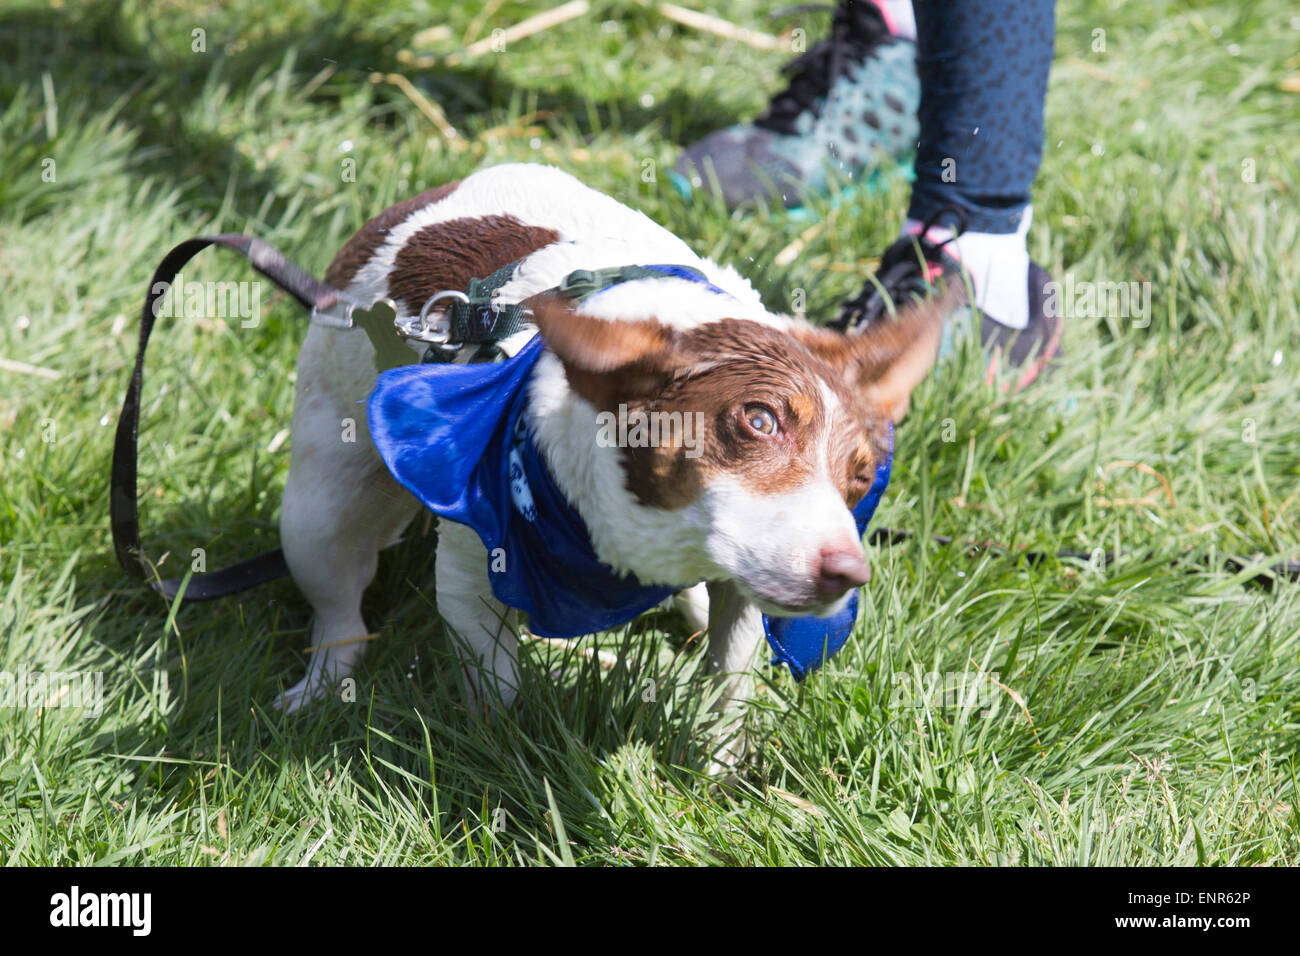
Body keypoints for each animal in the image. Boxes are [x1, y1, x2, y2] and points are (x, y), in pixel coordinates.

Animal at [279, 162, 951, 733]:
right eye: (758, 420)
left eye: (862, 476)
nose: (849, 572)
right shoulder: (470, 576)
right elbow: (498, 689)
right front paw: (507, 752)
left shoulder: (742, 593)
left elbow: (729, 688)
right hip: (318, 512)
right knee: (340, 613)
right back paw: (319, 688)